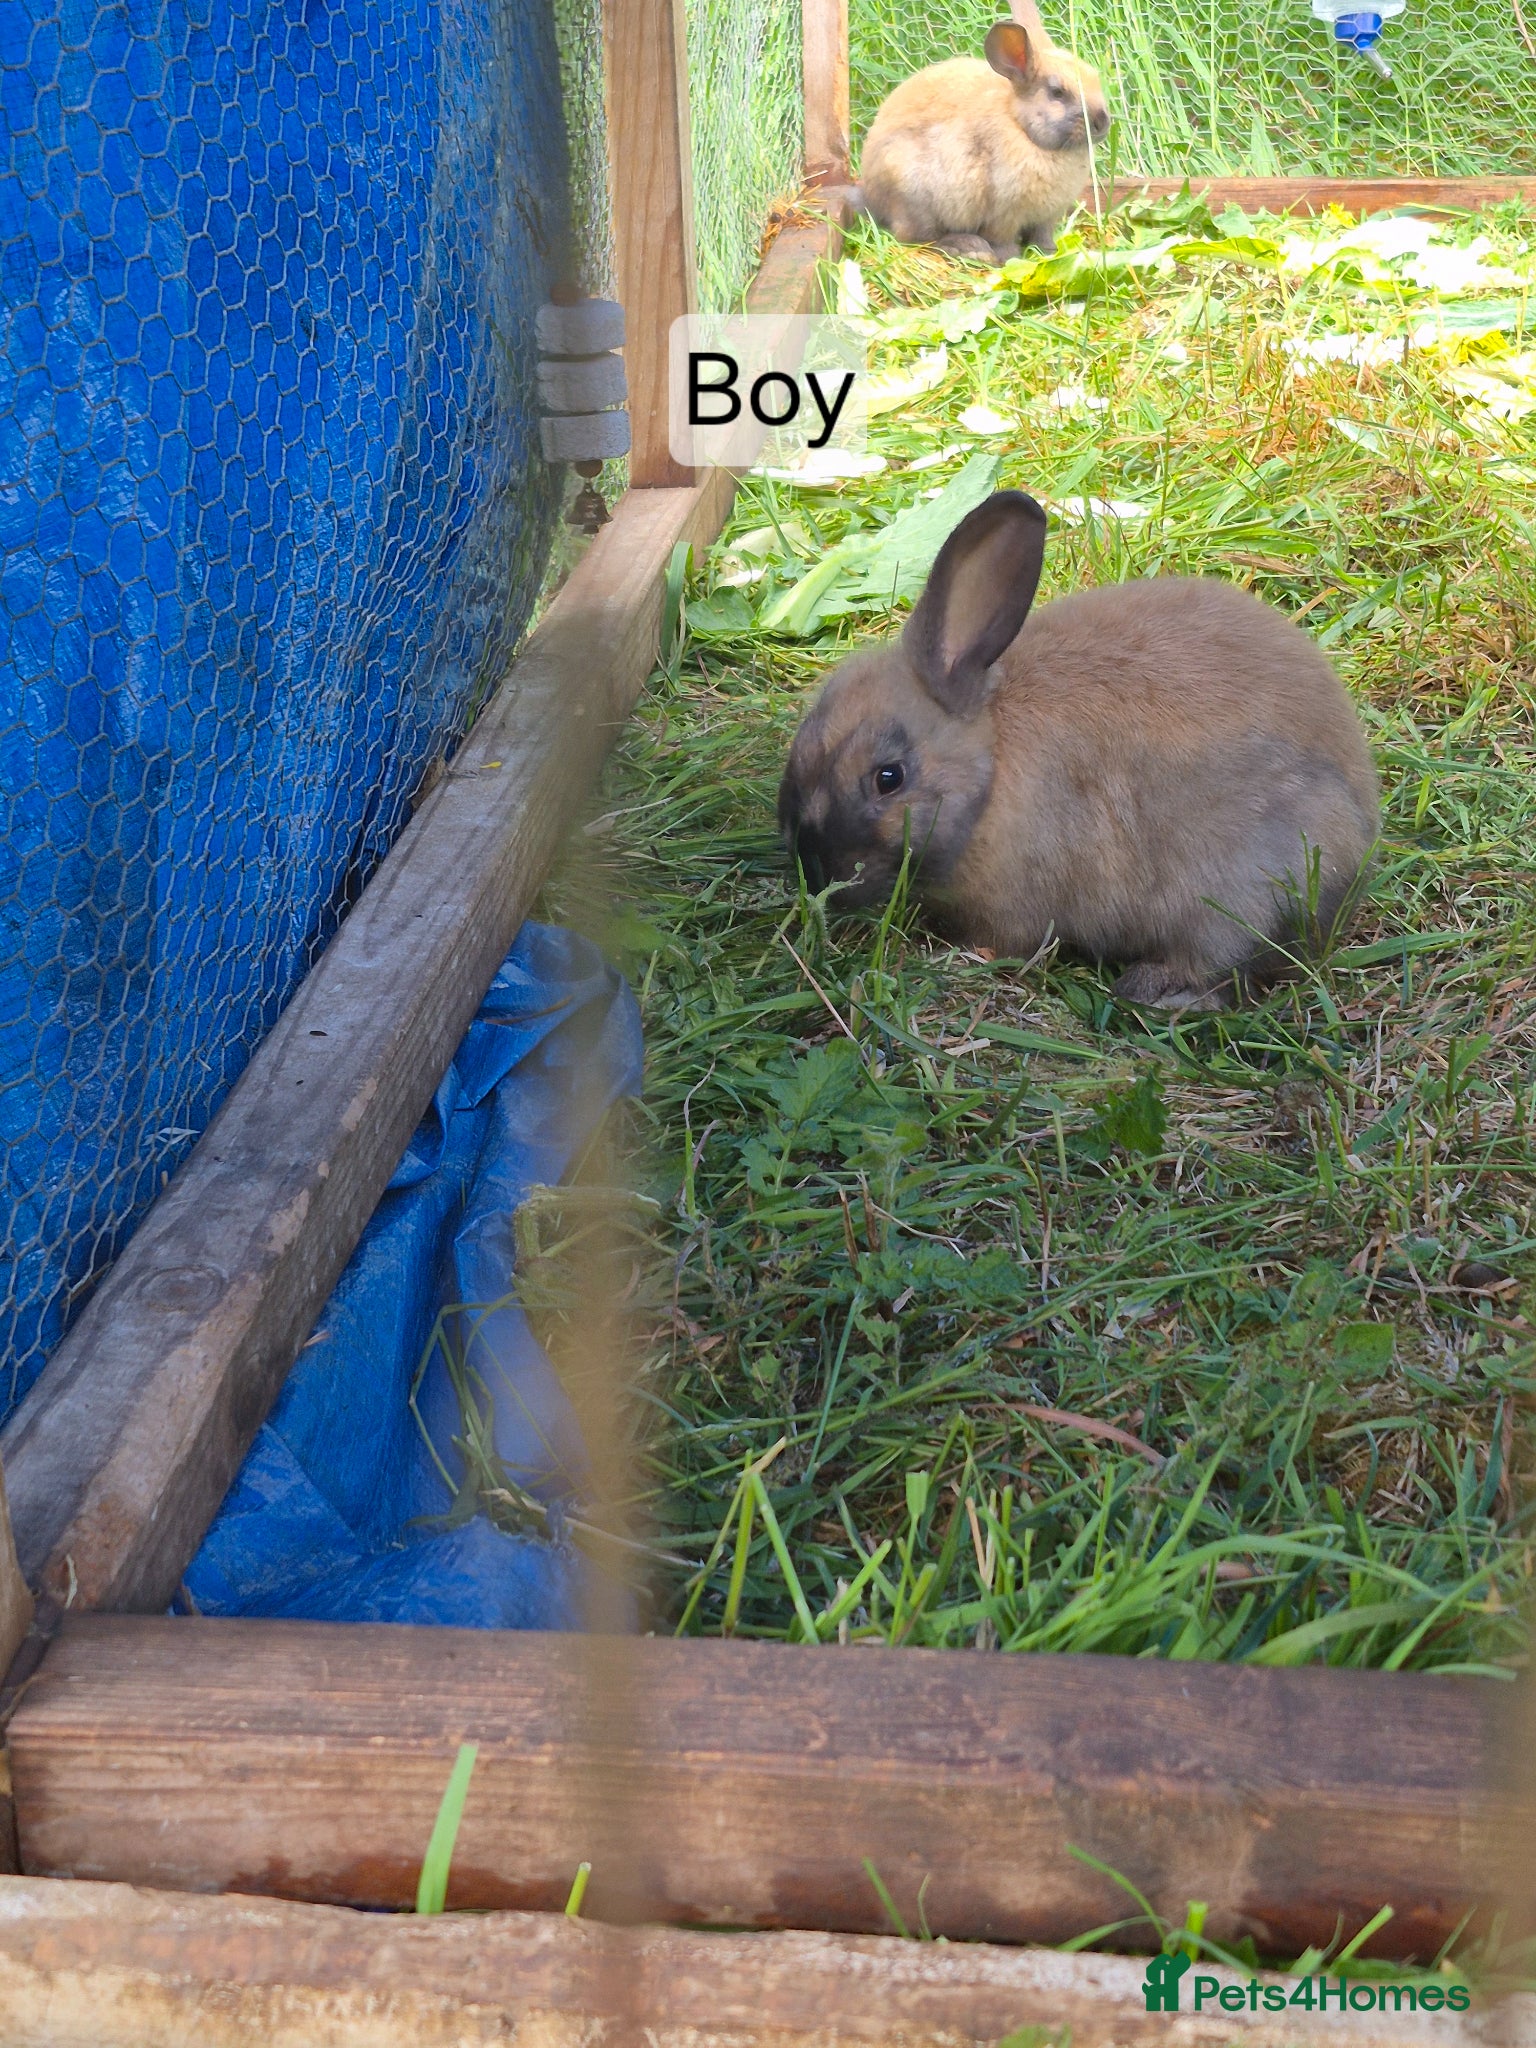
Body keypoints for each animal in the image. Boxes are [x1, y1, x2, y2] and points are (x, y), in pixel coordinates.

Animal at [778, 492, 1380, 1011]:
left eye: (889, 778)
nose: (816, 874)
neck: (990, 770)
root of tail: (1357, 846)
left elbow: (1006, 944)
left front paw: (960, 958)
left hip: (1242, 891)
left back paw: (1154, 992)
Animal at [856, 3, 1109, 261]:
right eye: (1057, 93)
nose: (1102, 122)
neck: (1023, 129)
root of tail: (871, 195)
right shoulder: (1004, 214)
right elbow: (1002, 240)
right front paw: (1009, 259)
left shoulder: (1046, 217)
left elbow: (1042, 237)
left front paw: (1049, 253)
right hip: (915, 199)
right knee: (919, 239)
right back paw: (968, 247)